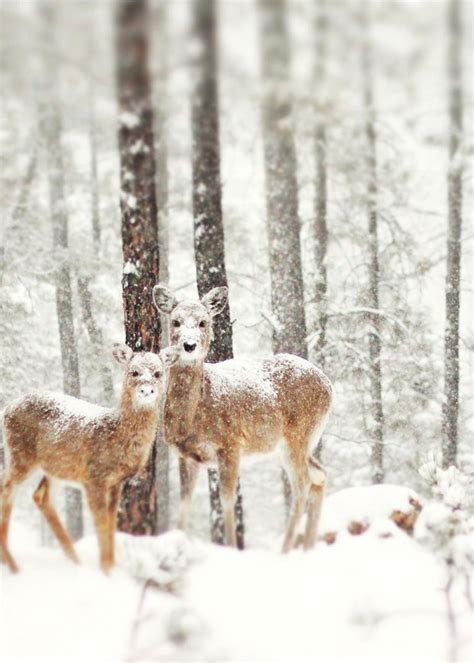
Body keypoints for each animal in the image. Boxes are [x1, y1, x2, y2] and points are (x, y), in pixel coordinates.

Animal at [0, 344, 180, 572]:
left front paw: (111, 565)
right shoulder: (94, 477)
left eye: (158, 373)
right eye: (134, 372)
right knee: (7, 489)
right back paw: (13, 564)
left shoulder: (116, 482)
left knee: (41, 496)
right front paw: (106, 569)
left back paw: (73, 560)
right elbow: (101, 523)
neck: (115, 434)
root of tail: (6, 409)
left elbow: (111, 523)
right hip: (20, 453)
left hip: (57, 467)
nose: (146, 390)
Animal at [154, 282, 332, 552]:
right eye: (175, 321)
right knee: (319, 475)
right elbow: (185, 504)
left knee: (302, 485)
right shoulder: (186, 454)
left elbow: (227, 500)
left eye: (203, 322)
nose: (189, 345)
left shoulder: (230, 444)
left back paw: (285, 549)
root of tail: (329, 386)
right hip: (295, 444)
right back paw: (307, 547)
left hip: (298, 434)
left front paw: (230, 547)